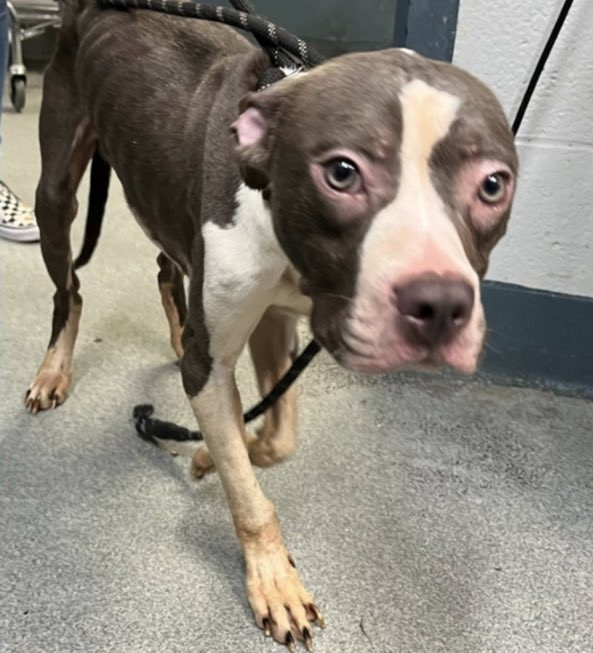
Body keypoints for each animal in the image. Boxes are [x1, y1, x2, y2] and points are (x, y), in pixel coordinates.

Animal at [25, 1, 518, 649]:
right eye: (341, 173)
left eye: (493, 184)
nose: (439, 305)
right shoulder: (215, 359)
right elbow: (250, 491)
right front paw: (273, 582)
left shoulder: (272, 322)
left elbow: (279, 435)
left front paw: (216, 455)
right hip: (55, 193)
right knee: (71, 292)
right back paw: (54, 369)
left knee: (165, 268)